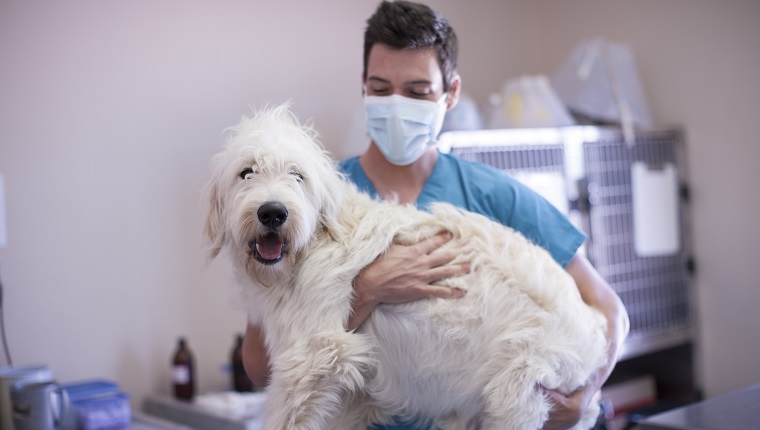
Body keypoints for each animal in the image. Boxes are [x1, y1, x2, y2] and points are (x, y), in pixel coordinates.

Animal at [205, 105, 608, 430]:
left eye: (297, 175)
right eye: (246, 173)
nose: (273, 212)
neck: (316, 241)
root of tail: (595, 334)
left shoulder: (313, 356)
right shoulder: (346, 393)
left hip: (516, 394)